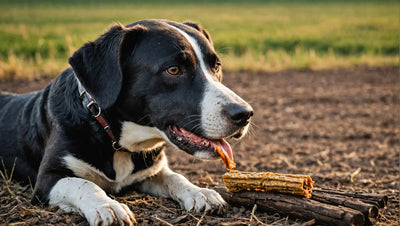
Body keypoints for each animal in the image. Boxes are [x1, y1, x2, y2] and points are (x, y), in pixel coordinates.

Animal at [0, 20, 253, 225]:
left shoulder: (149, 172)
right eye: (173, 70)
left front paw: (199, 192)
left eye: (216, 66)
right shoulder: (47, 180)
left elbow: (174, 176)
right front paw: (107, 206)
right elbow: (84, 184)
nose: (245, 114)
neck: (111, 136)